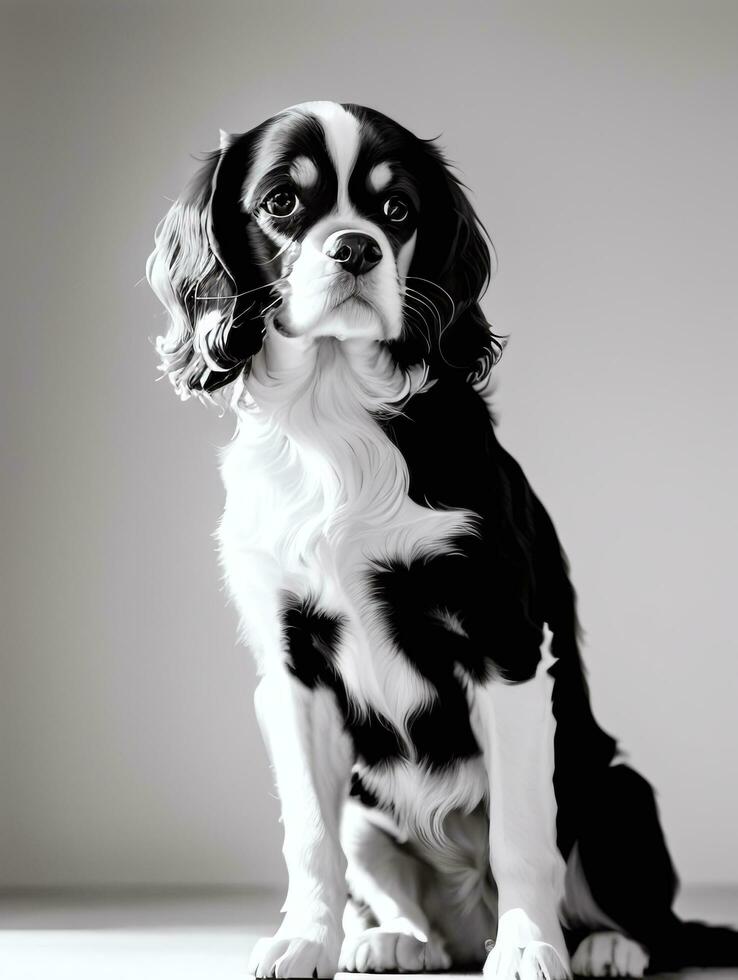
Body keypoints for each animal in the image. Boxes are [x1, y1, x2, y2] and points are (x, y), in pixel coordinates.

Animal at [148, 103, 736, 976]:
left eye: (398, 211)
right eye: (283, 202)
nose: (355, 248)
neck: (337, 416)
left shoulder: (506, 645)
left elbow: (523, 837)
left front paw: (528, 947)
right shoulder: (292, 670)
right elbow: (309, 838)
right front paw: (306, 939)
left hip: (615, 790)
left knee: (652, 921)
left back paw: (603, 946)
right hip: (368, 805)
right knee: (401, 893)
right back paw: (397, 938)